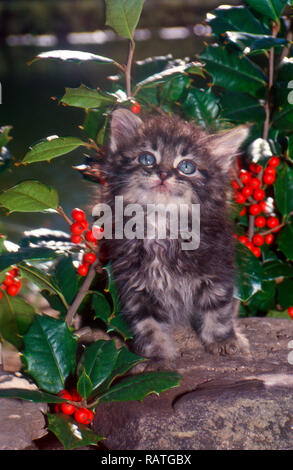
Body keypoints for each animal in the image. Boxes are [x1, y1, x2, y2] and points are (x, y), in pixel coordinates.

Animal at [97, 110, 248, 364]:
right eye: (147, 159)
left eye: (187, 166)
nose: (164, 173)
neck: (162, 223)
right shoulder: (136, 284)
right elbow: (148, 325)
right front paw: (158, 357)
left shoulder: (216, 270)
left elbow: (218, 310)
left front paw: (223, 340)